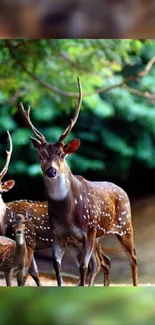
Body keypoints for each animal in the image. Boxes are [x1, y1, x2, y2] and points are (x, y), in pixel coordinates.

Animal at [19, 77, 138, 284]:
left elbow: (83, 267)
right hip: (97, 236)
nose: (51, 171)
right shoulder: (60, 234)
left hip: (124, 225)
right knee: (106, 261)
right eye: (40, 155)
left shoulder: (89, 230)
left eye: (62, 154)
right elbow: (57, 265)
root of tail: (122, 190)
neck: (67, 214)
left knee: (132, 258)